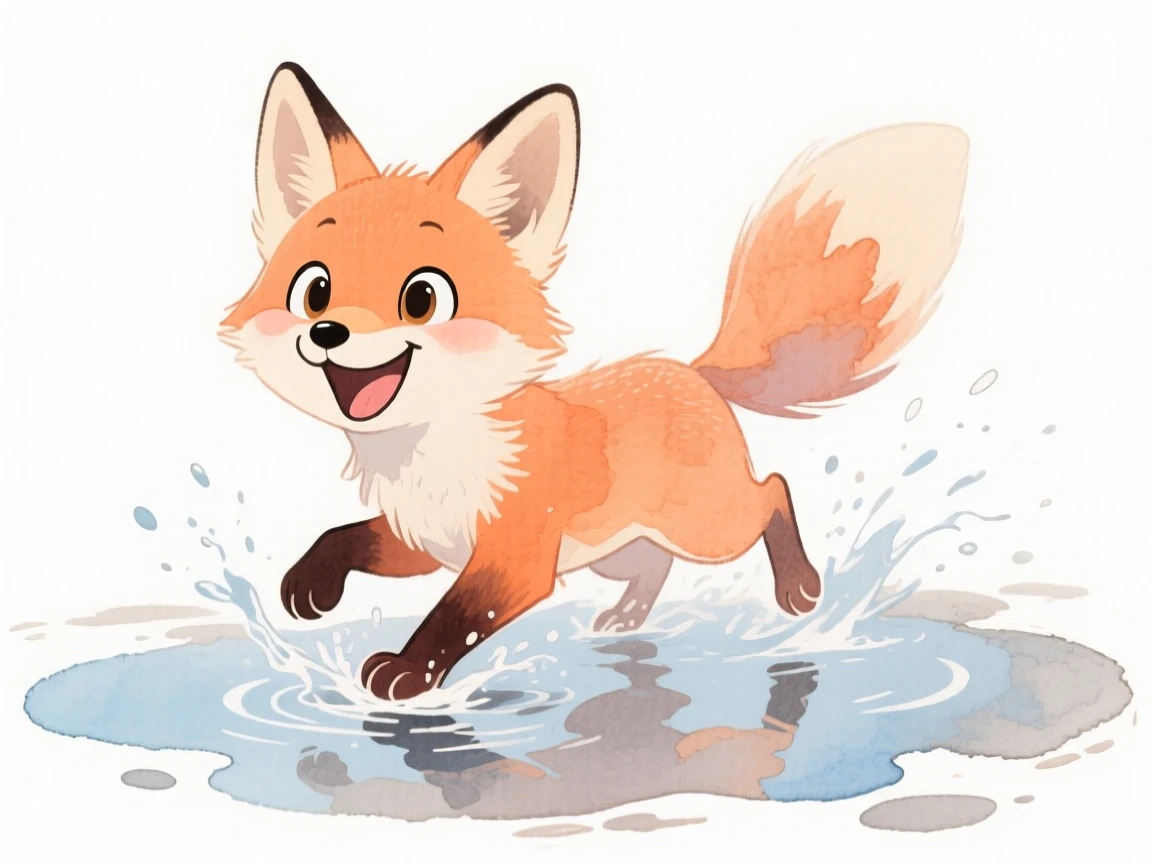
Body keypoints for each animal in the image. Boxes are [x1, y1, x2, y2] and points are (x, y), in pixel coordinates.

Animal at [219, 62, 967, 702]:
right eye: (314, 289)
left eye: (422, 298)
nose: (328, 332)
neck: (429, 458)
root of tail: (690, 369)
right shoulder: (426, 542)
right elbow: (343, 537)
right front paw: (309, 584)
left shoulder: (516, 558)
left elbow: (455, 615)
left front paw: (408, 671)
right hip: (612, 550)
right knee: (656, 567)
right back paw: (629, 618)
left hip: (706, 527)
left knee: (773, 492)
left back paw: (800, 587)